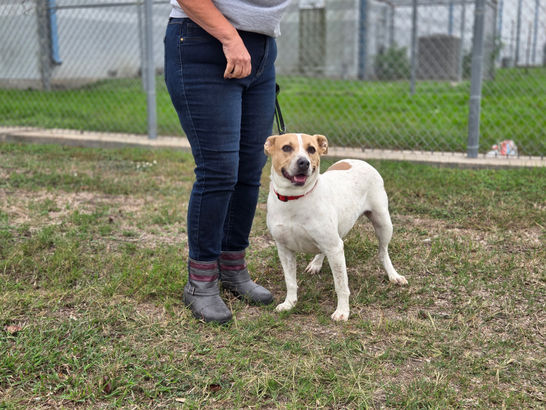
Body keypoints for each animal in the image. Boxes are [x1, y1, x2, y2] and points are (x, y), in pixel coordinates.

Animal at [264, 133, 408, 321]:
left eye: (311, 149)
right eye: (286, 148)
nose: (304, 162)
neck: (295, 198)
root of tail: (358, 160)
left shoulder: (335, 248)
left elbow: (341, 284)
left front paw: (342, 311)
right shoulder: (284, 249)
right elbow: (290, 281)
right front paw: (289, 303)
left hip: (383, 223)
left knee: (383, 252)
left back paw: (393, 275)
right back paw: (316, 264)